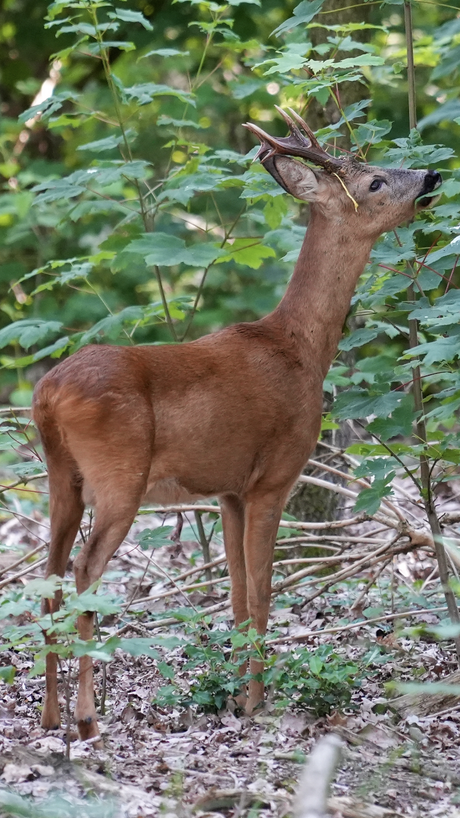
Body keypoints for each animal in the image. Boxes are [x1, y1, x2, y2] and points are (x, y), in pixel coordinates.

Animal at [32, 105, 442, 744]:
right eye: (375, 182)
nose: (430, 176)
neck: (300, 349)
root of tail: (49, 393)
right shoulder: (273, 476)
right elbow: (264, 589)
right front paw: (256, 702)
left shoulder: (226, 489)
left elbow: (235, 593)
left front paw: (232, 698)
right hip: (119, 476)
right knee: (83, 571)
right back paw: (85, 716)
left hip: (61, 476)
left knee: (48, 578)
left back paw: (51, 717)